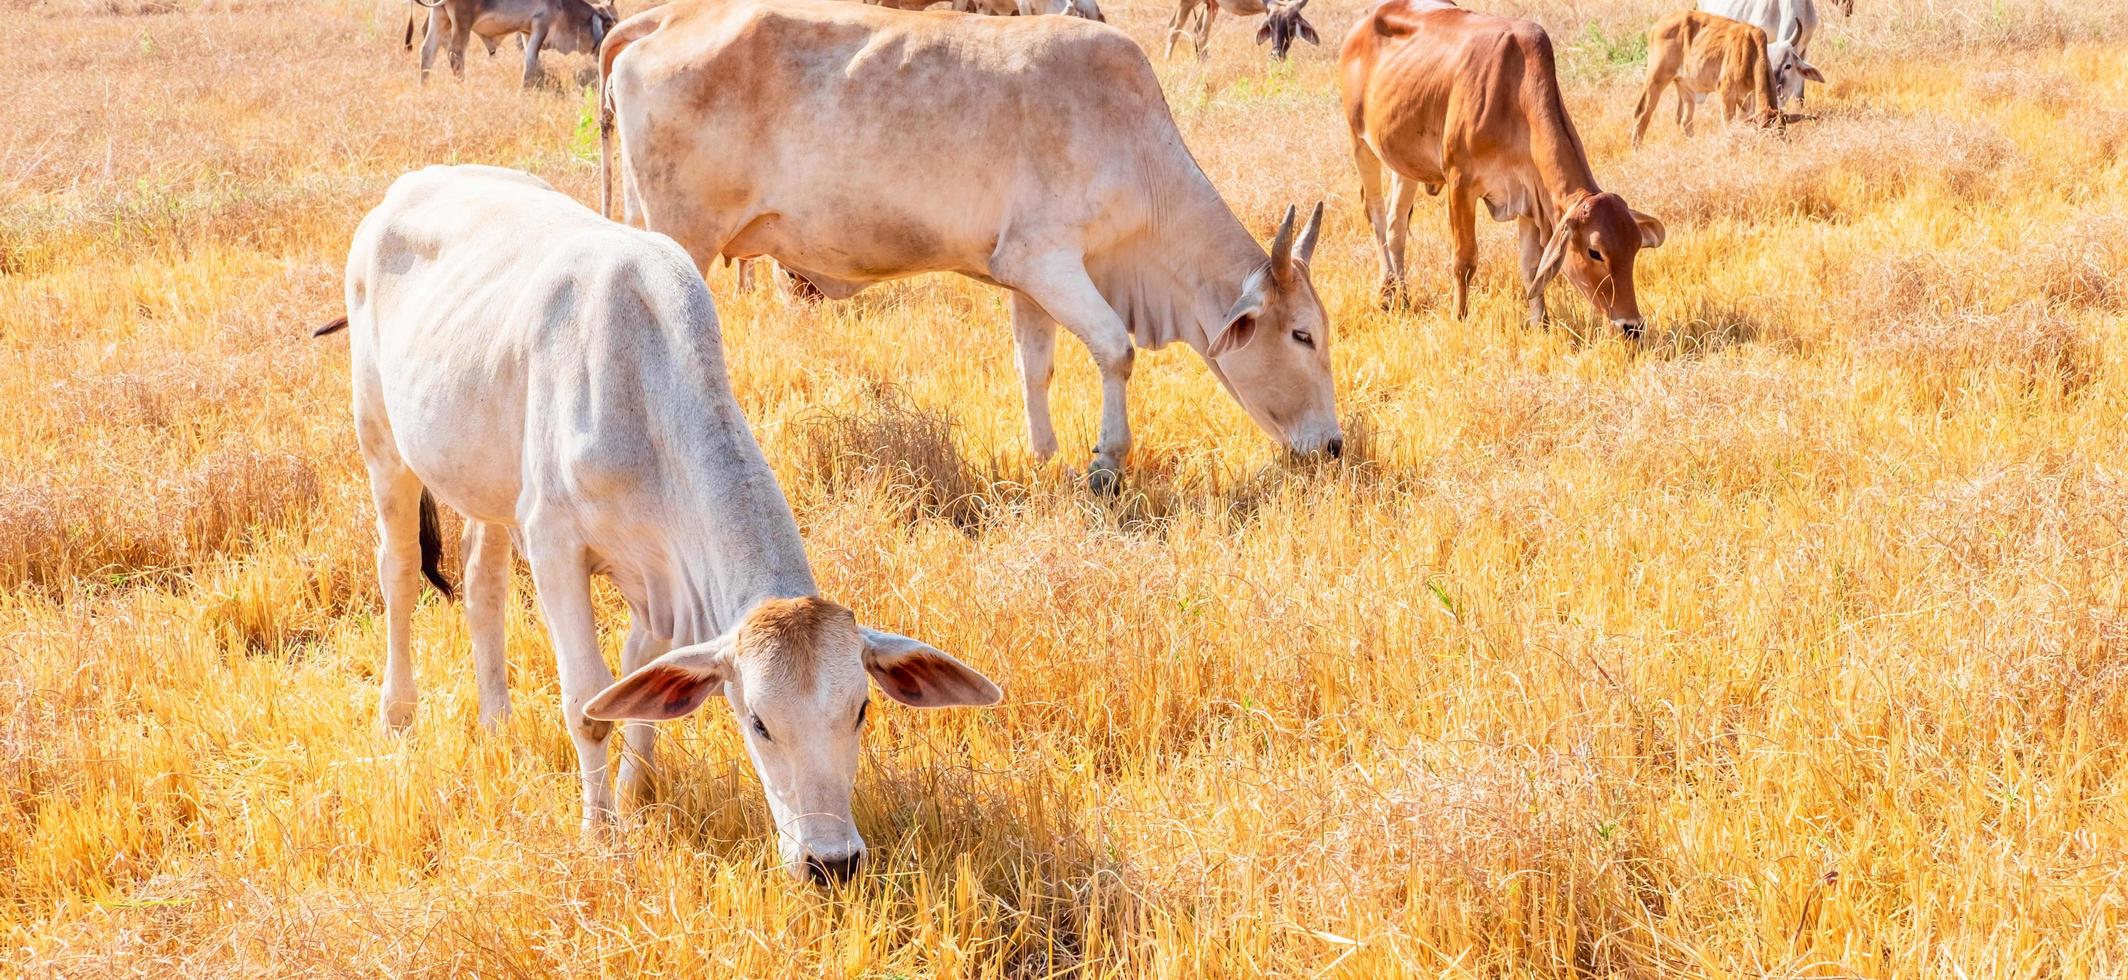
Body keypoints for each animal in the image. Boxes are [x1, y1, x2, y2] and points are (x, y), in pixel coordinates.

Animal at [325, 164, 1004, 884]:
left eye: (861, 709)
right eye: (757, 721)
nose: (831, 862)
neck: (641, 394)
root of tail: (408, 186)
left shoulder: (658, 574)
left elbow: (638, 684)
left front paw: (633, 798)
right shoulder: (555, 543)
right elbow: (589, 702)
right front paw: (599, 834)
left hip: (487, 484)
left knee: (483, 585)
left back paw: (497, 722)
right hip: (382, 440)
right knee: (398, 570)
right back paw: (398, 718)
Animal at [1625, 9, 1779, 145]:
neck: (1751, 52)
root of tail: (1657, 25)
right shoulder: (1726, 95)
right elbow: (1728, 126)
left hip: (1684, 88)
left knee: (1685, 121)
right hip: (1656, 80)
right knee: (1642, 113)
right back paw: (1637, 149)